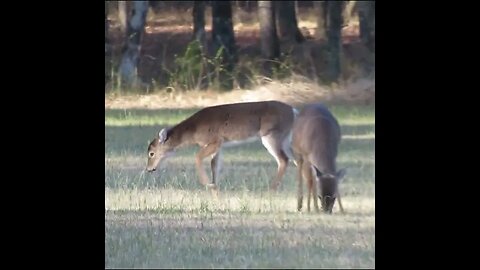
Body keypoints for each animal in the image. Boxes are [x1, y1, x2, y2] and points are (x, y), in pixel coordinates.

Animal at [145, 100, 296, 192]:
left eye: (151, 153)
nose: (148, 169)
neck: (193, 131)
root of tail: (294, 111)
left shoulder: (215, 140)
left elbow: (197, 157)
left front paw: (208, 184)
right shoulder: (219, 145)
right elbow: (214, 167)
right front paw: (215, 191)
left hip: (271, 134)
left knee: (284, 159)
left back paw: (270, 189)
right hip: (285, 139)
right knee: (296, 159)